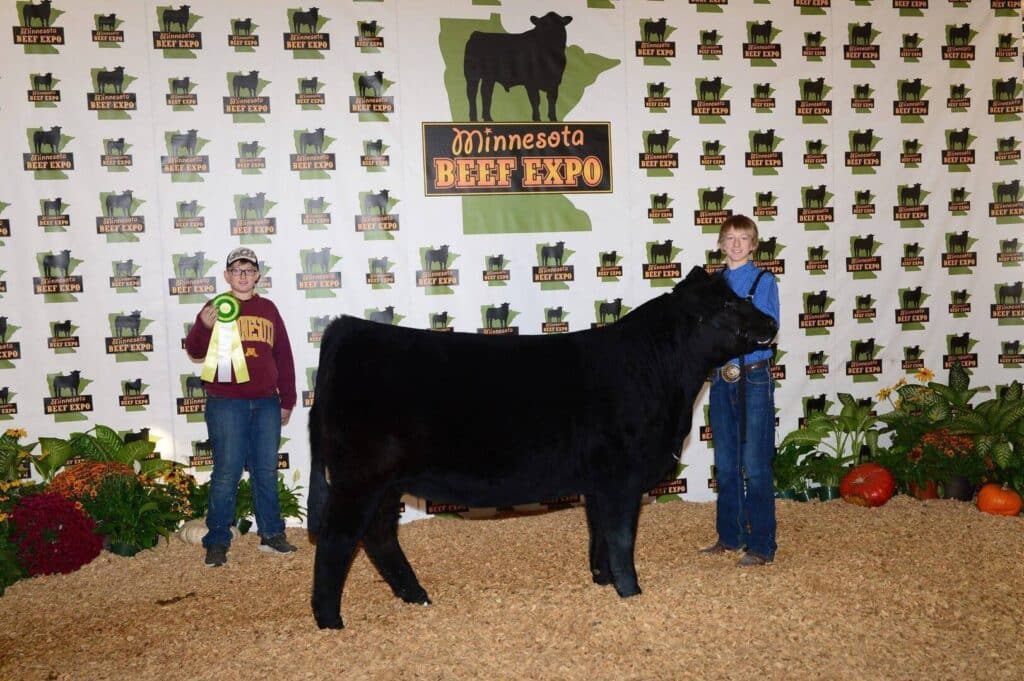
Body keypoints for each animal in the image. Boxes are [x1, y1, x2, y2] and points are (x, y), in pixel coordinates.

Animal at [305, 266, 778, 629]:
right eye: (727, 306)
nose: (772, 324)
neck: (657, 370)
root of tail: (347, 328)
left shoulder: (600, 480)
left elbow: (600, 533)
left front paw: (602, 580)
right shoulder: (622, 476)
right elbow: (622, 537)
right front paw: (631, 591)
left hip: (385, 483)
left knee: (379, 535)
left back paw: (415, 595)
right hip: (360, 478)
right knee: (337, 539)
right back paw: (330, 620)